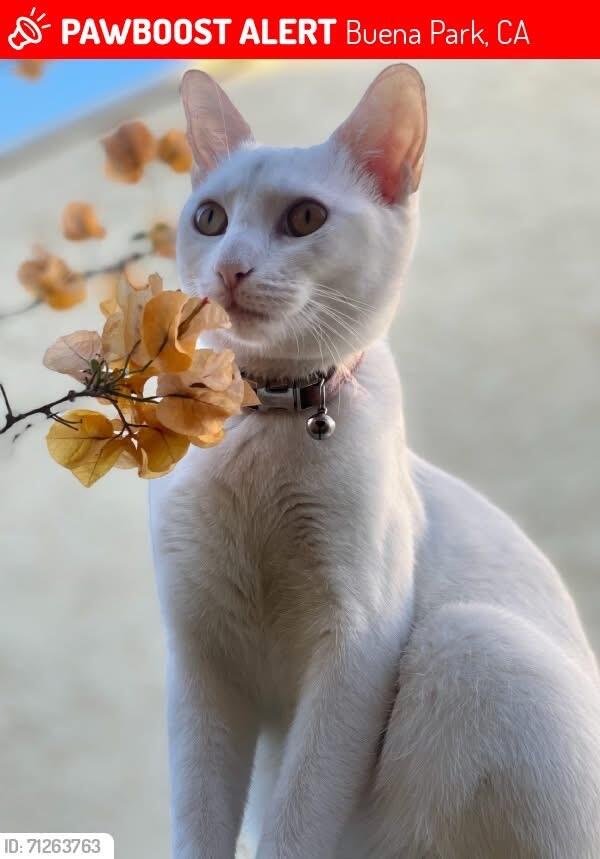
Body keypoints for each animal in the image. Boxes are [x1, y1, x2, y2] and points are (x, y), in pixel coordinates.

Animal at [149, 63, 600, 856]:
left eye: (304, 218)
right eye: (209, 220)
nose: (230, 269)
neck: (269, 417)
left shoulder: (356, 649)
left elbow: (296, 826)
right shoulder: (200, 659)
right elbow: (200, 821)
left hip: (471, 640)